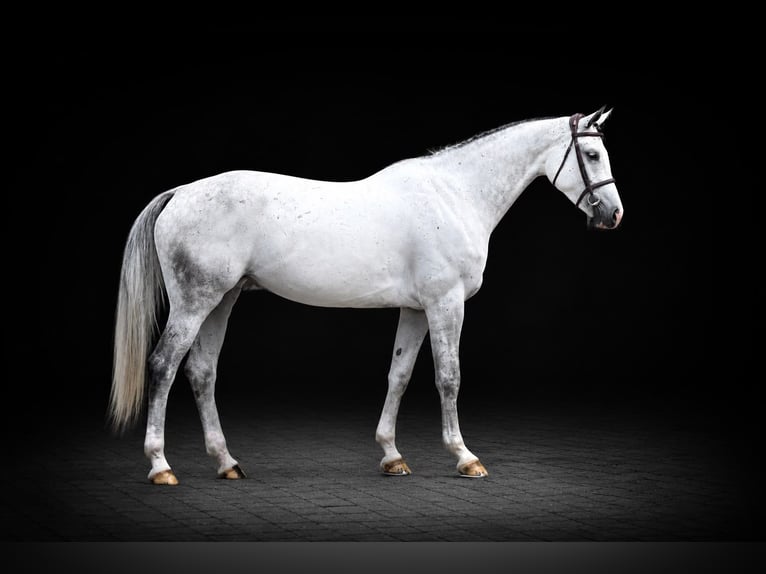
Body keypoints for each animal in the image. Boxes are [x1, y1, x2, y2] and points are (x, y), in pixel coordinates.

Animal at [110, 107, 623, 485]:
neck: (454, 194)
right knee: (163, 366)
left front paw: (392, 456)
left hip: (222, 300)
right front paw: (464, 456)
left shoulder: (415, 309)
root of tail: (181, 193)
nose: (613, 215)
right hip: (194, 303)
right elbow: (449, 378)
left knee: (201, 372)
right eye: (592, 154)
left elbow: (399, 375)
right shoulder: (445, 304)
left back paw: (226, 462)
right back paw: (161, 466)